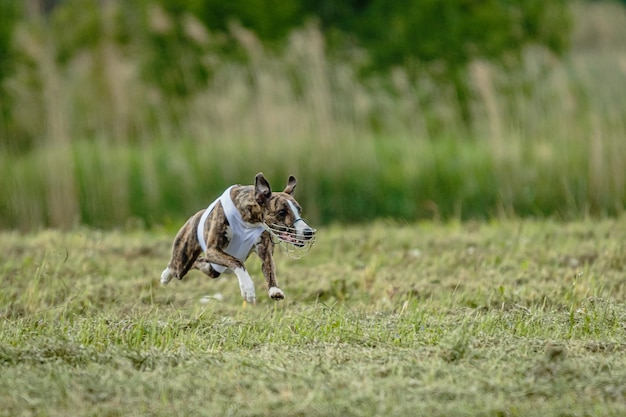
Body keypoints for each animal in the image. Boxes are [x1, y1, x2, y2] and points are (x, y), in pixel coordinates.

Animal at [158, 171, 314, 302]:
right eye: (282, 212)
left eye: (299, 210)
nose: (309, 232)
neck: (249, 221)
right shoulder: (213, 250)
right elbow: (238, 262)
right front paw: (248, 289)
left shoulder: (264, 249)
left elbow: (269, 267)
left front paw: (274, 290)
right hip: (185, 259)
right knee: (177, 267)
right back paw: (166, 275)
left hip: (213, 268)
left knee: (201, 262)